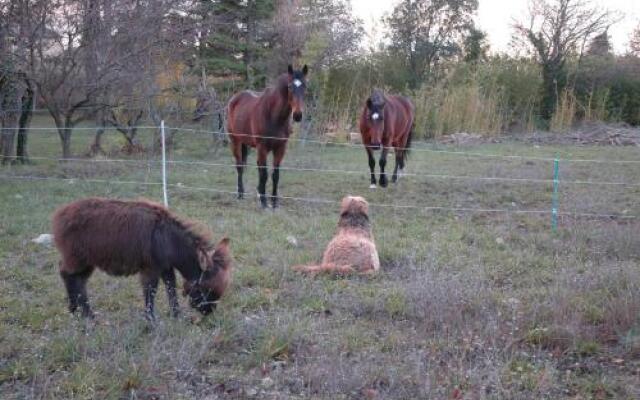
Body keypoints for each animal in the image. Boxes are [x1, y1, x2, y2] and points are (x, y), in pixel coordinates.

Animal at [52, 198, 232, 320]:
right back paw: (81, 312)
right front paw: (151, 320)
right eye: (207, 289)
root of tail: (60, 214)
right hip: (77, 259)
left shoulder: (166, 267)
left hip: (87, 262)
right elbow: (151, 292)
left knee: (78, 281)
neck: (169, 239)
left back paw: (80, 312)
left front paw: (176, 315)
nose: (208, 313)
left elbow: (171, 289)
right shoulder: (150, 268)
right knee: (67, 275)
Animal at [228, 64, 310, 208]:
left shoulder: (280, 148)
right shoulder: (262, 147)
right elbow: (264, 174)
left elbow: (275, 175)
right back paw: (240, 194)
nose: (297, 115)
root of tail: (235, 99)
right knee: (240, 166)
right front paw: (264, 202)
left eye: (305, 86)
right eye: (290, 87)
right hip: (235, 141)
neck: (273, 116)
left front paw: (274, 201)